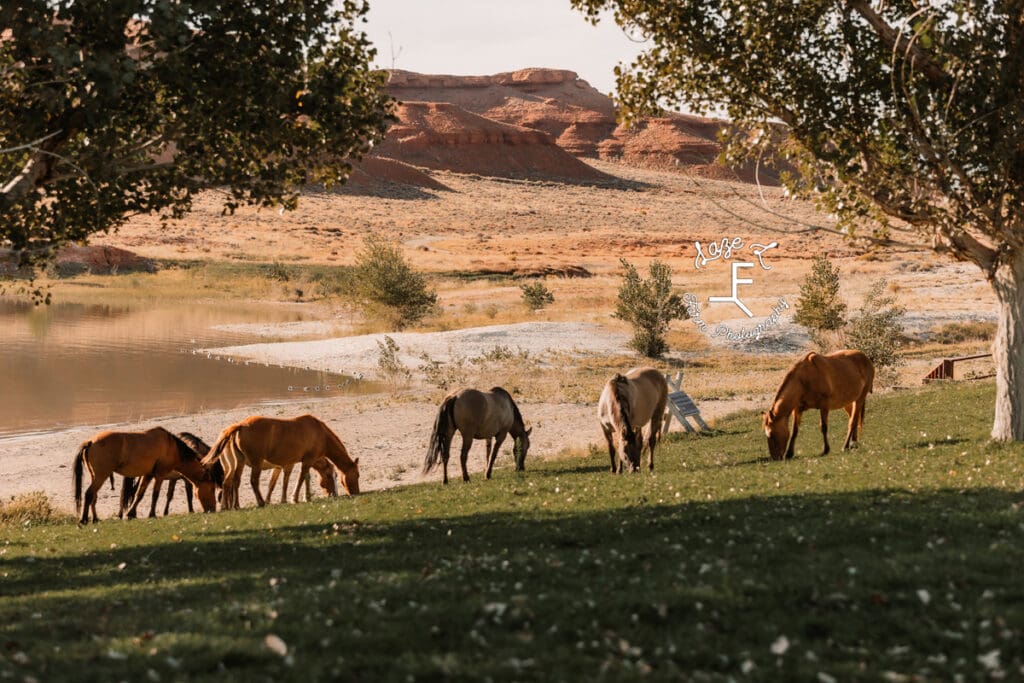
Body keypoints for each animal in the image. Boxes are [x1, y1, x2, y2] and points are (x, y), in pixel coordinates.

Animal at [72, 428, 220, 524]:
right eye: (212, 488)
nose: (212, 510)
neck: (172, 447)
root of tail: (90, 442)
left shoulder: (148, 475)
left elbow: (140, 494)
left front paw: (131, 514)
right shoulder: (160, 475)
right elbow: (155, 495)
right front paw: (152, 514)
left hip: (96, 476)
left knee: (94, 496)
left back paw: (95, 518)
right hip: (101, 476)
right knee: (89, 494)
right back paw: (84, 519)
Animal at [200, 413, 360, 509]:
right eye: (357, 475)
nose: (356, 493)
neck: (319, 432)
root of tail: (240, 425)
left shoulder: (290, 463)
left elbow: (285, 481)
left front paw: (292, 498)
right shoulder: (306, 461)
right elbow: (301, 478)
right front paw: (295, 498)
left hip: (239, 463)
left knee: (235, 482)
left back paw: (236, 506)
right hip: (255, 462)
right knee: (253, 481)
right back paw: (260, 502)